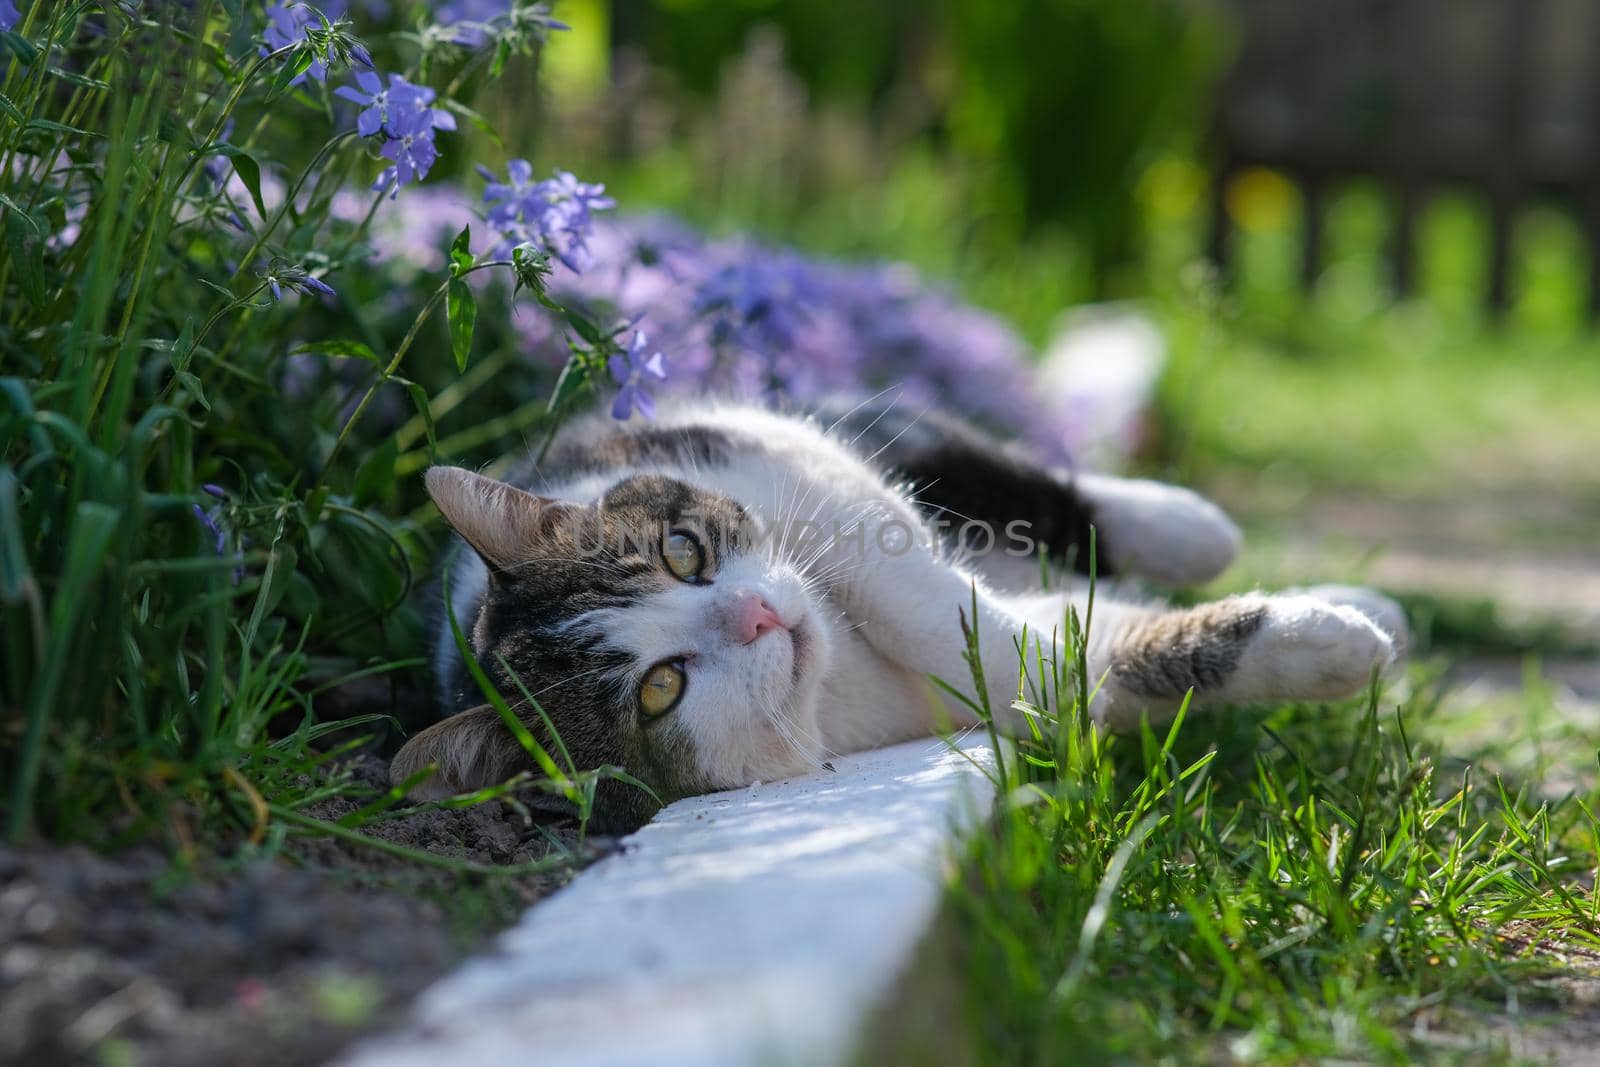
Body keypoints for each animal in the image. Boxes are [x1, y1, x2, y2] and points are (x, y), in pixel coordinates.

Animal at [393, 396, 1408, 831]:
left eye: (683, 552)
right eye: (660, 689)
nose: (760, 616)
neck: (834, 669)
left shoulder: (773, 452)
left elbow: (911, 581)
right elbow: (1070, 660)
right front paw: (1319, 646)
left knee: (1021, 484)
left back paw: (1198, 527)